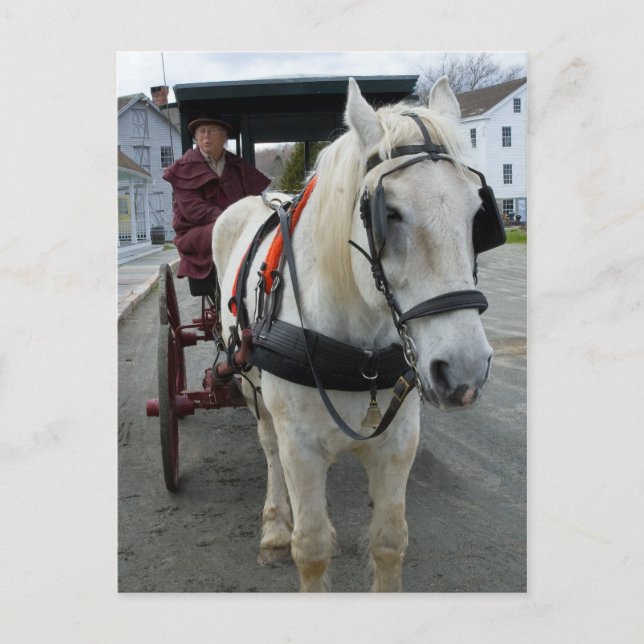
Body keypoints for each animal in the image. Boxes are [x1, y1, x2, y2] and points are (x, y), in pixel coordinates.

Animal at [212, 77, 499, 591]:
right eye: (392, 213)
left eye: (477, 212)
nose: (465, 371)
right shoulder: (300, 446)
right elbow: (310, 547)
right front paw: (292, 536)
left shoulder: (398, 441)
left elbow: (389, 541)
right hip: (249, 383)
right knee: (269, 447)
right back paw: (275, 529)